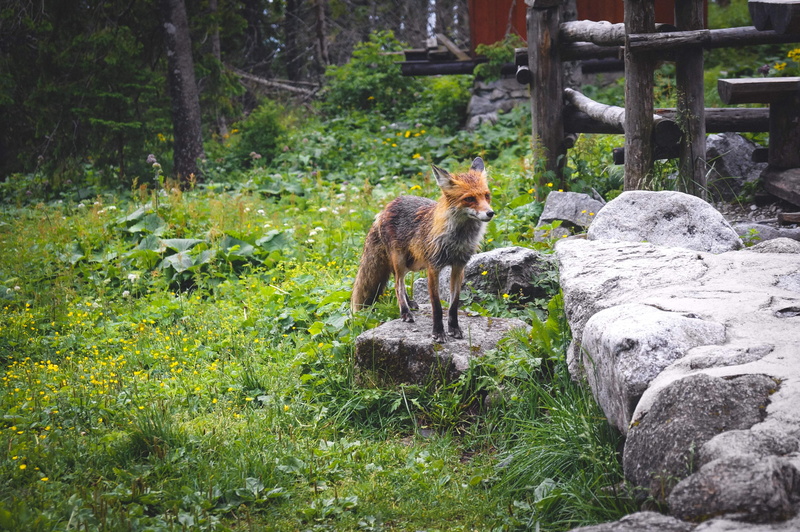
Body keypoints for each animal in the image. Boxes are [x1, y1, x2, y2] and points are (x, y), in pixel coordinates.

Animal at [351, 157, 494, 343]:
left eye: (487, 196)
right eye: (469, 198)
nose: (490, 213)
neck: (457, 239)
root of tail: (386, 207)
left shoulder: (459, 266)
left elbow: (453, 305)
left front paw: (454, 329)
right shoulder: (433, 267)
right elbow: (437, 306)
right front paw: (438, 333)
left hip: (413, 263)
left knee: (399, 283)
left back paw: (410, 303)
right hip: (401, 261)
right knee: (397, 284)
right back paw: (405, 312)